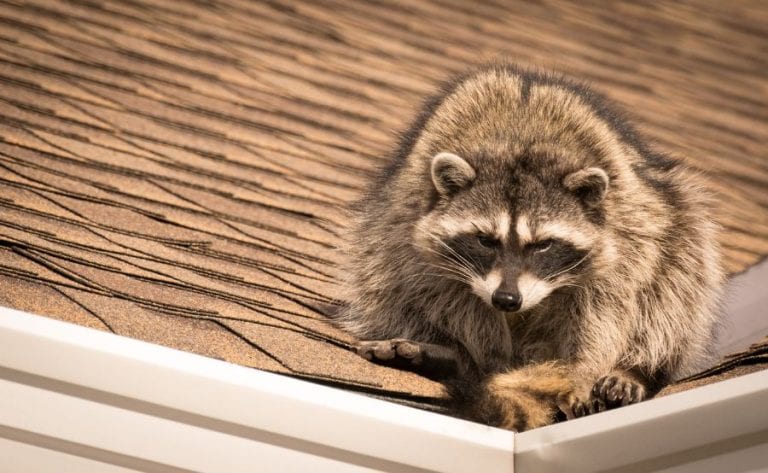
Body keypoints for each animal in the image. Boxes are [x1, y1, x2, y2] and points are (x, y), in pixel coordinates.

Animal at [334, 62, 724, 431]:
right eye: (485, 240)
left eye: (543, 245)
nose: (507, 299)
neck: (519, 144)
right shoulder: (413, 227)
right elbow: (443, 293)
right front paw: (483, 357)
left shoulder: (626, 236)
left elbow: (608, 308)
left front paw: (584, 371)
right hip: (382, 231)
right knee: (384, 277)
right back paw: (454, 355)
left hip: (676, 220)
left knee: (676, 280)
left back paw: (633, 369)